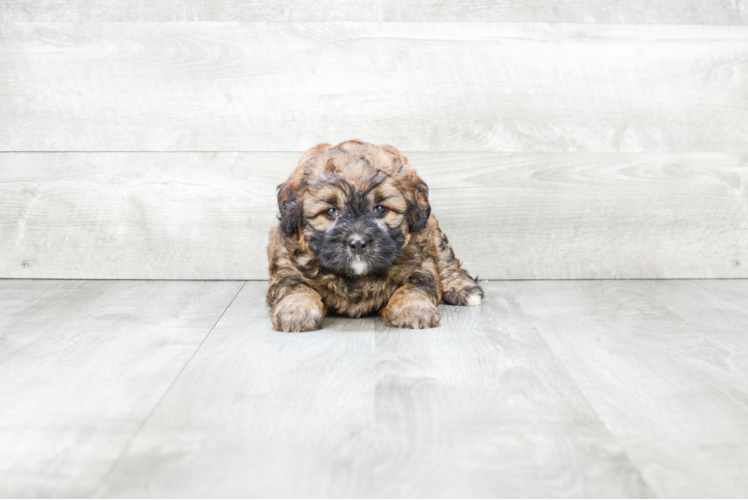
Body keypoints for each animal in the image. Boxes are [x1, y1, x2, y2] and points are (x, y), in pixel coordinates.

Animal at [268, 140, 486, 332]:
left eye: (380, 209)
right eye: (331, 211)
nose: (357, 243)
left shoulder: (422, 263)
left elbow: (415, 284)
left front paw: (413, 307)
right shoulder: (287, 267)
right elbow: (295, 287)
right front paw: (297, 310)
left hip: (433, 230)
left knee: (446, 260)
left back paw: (464, 288)